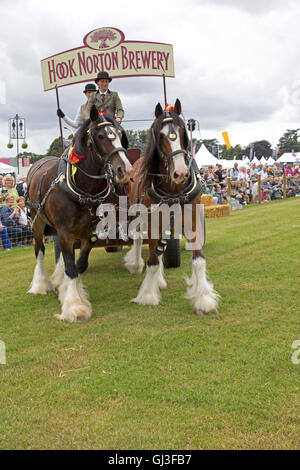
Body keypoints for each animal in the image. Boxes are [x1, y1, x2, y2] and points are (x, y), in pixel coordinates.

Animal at [26, 104, 132, 322]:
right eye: (100, 136)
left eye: (120, 134)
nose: (125, 170)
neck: (82, 187)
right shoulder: (66, 233)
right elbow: (71, 267)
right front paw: (75, 307)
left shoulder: (89, 232)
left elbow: (79, 265)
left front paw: (68, 292)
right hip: (37, 221)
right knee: (39, 250)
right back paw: (40, 285)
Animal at [123, 99, 219, 316]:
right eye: (160, 135)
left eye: (183, 131)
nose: (181, 173)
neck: (174, 190)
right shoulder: (153, 223)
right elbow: (152, 260)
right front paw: (147, 295)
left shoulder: (192, 221)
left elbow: (198, 260)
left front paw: (203, 298)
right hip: (138, 216)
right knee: (141, 242)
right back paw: (138, 265)